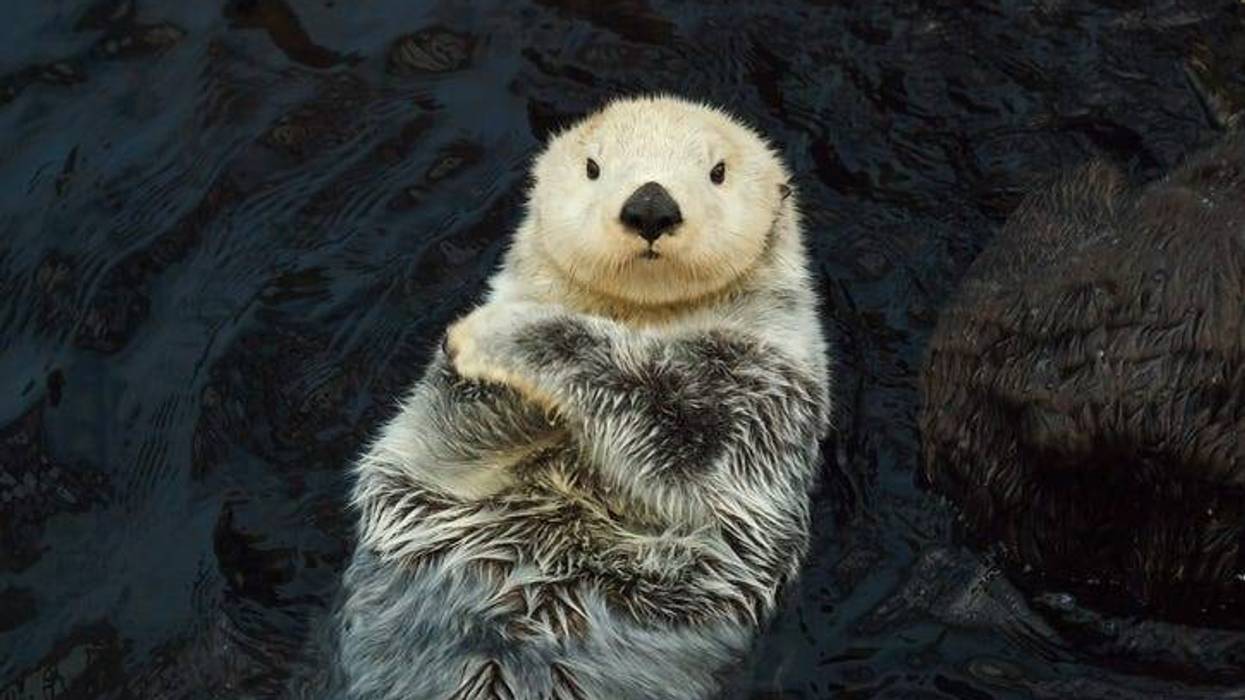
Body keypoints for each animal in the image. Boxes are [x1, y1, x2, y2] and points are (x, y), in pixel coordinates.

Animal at [331, 96, 831, 699]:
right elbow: (442, 441)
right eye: (593, 167)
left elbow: (678, 434)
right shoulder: (433, 448)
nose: (650, 206)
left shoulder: (763, 394)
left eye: (718, 171)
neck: (639, 319)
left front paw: (497, 333)